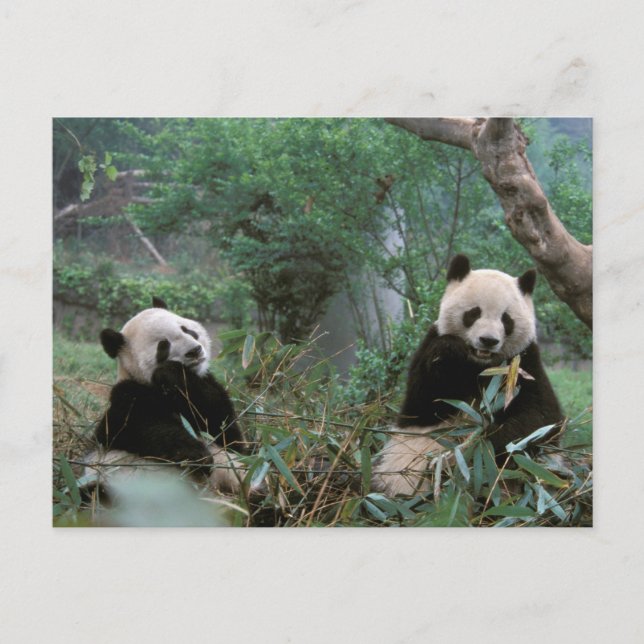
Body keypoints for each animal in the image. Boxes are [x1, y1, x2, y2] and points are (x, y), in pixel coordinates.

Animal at [85, 297, 248, 496]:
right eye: (163, 344)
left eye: (186, 329)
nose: (195, 350)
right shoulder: (126, 397)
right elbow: (142, 427)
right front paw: (198, 456)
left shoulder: (204, 386)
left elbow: (226, 430)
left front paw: (173, 373)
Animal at [371, 254, 563, 497]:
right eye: (474, 313)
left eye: (506, 319)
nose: (488, 340)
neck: (480, 364)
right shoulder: (430, 345)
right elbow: (422, 405)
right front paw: (449, 350)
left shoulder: (523, 364)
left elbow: (540, 420)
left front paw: (486, 441)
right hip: (395, 473)